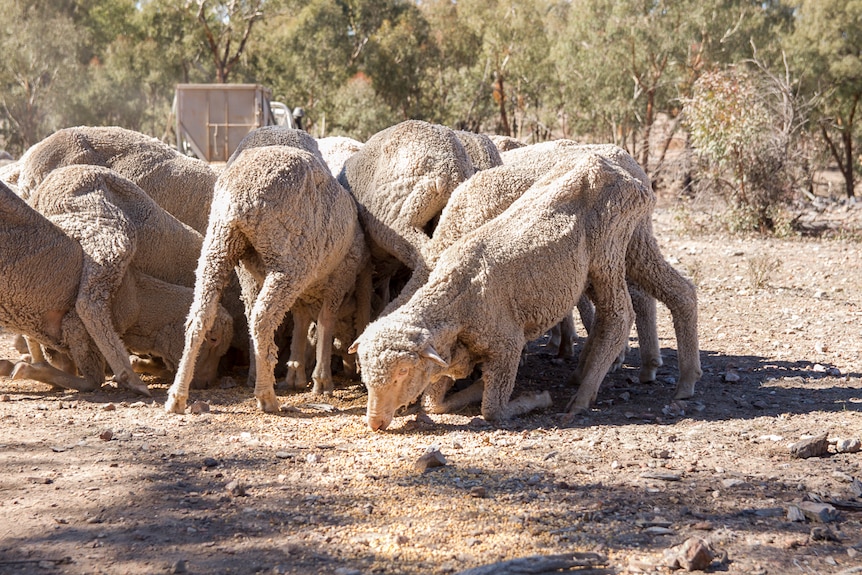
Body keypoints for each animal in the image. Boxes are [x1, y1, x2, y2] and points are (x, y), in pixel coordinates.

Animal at [166, 144, 364, 414]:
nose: (351, 367)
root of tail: (240, 197)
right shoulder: (340, 277)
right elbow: (325, 323)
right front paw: (322, 381)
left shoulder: (305, 292)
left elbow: (302, 322)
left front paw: (296, 373)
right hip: (289, 260)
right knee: (262, 319)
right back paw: (266, 395)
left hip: (219, 246)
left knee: (199, 317)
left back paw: (177, 396)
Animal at [350, 151, 656, 430]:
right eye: (365, 373)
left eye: (403, 371)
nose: (375, 423)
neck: (457, 300)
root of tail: (617, 170)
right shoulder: (452, 354)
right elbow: (433, 403)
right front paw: (472, 389)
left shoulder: (508, 346)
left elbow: (492, 410)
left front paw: (535, 399)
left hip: (608, 250)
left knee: (619, 315)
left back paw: (584, 395)